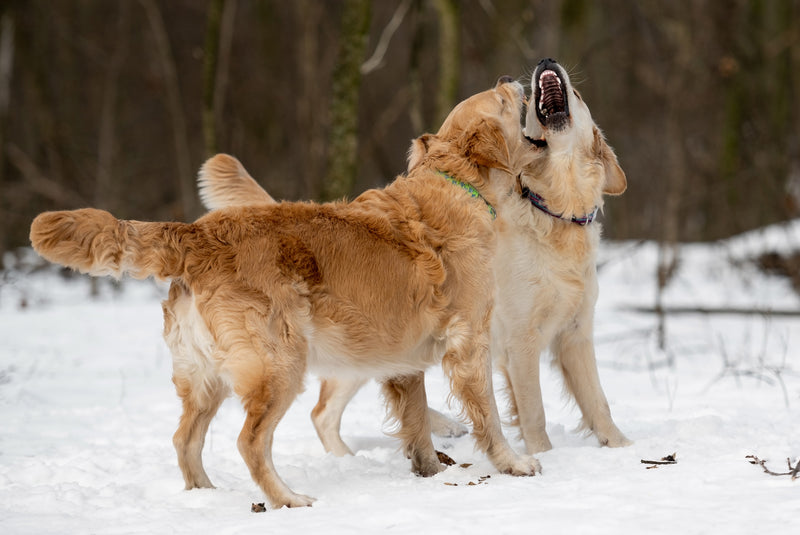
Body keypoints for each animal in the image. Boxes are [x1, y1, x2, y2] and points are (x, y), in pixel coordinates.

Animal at [32, 79, 544, 510]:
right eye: (502, 99)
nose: (513, 79)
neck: (457, 185)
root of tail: (197, 233)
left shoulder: (402, 361)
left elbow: (416, 424)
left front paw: (431, 472)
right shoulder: (469, 343)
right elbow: (488, 415)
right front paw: (513, 463)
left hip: (207, 378)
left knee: (185, 440)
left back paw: (206, 496)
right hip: (279, 366)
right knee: (250, 441)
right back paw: (288, 499)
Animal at [203, 60, 636, 458]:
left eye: (576, 95)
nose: (546, 61)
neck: (552, 212)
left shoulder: (576, 331)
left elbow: (598, 401)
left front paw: (622, 448)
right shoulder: (519, 341)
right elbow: (534, 412)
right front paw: (542, 454)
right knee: (323, 411)